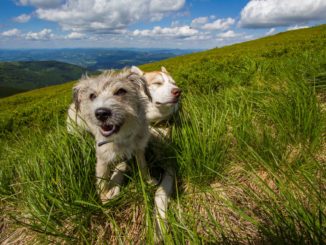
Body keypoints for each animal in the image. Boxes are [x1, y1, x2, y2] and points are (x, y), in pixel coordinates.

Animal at [70, 68, 155, 201]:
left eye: (121, 91)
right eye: (92, 96)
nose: (101, 113)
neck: (121, 136)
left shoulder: (139, 147)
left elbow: (142, 165)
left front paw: (147, 180)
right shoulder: (102, 156)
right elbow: (102, 178)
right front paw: (104, 196)